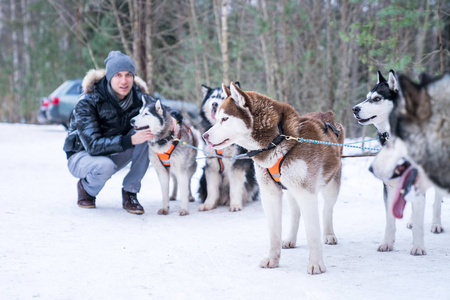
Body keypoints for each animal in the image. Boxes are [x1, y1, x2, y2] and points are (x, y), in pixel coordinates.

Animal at [198, 83, 258, 212]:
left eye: (222, 97)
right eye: (213, 97)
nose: (214, 104)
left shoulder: (237, 164)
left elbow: (235, 187)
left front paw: (235, 204)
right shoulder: (211, 165)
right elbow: (211, 189)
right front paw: (208, 204)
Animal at [204, 82, 344, 274]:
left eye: (225, 119)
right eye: (217, 118)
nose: (204, 136)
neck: (278, 140)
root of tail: (327, 115)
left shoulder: (307, 193)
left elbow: (313, 233)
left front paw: (316, 263)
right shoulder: (270, 194)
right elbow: (274, 233)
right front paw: (273, 259)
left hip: (331, 185)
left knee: (327, 210)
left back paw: (329, 234)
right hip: (291, 189)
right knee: (295, 213)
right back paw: (290, 238)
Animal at [352, 71, 442, 255]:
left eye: (377, 98)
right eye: (366, 97)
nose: (354, 109)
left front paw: (418, 246)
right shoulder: (389, 185)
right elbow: (390, 220)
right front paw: (387, 243)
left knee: (437, 200)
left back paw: (436, 224)